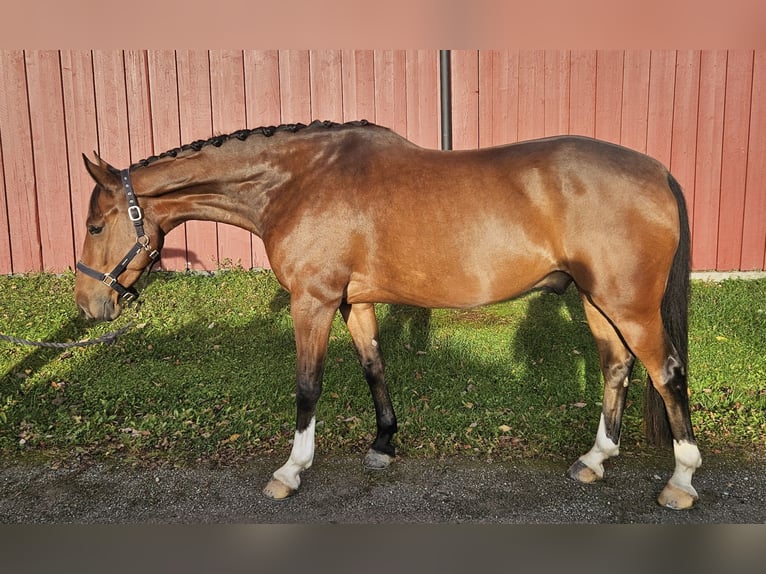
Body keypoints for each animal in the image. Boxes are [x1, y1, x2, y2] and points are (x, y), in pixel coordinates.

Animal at [75, 119, 704, 510]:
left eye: (96, 226)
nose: (88, 306)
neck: (297, 181)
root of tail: (658, 171)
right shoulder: (354, 301)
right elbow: (373, 366)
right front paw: (382, 443)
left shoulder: (314, 301)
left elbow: (308, 385)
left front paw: (291, 470)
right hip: (597, 301)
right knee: (617, 367)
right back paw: (595, 459)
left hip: (629, 304)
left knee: (667, 372)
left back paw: (681, 481)